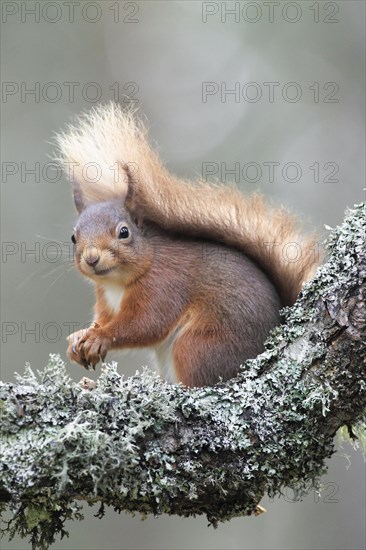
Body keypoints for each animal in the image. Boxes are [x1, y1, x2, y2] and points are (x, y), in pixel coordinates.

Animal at [55, 103, 318, 388]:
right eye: (73, 237)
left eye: (124, 232)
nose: (91, 258)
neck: (117, 283)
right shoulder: (105, 299)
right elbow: (103, 320)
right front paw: (81, 336)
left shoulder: (163, 286)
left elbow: (144, 324)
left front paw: (99, 337)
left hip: (197, 346)